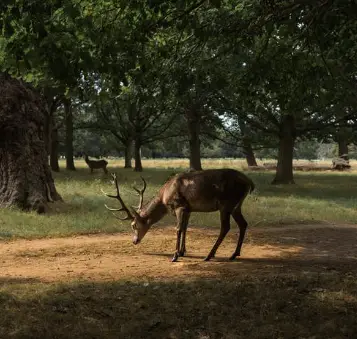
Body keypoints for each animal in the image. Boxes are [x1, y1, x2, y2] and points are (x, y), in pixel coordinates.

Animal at [101, 170, 254, 262]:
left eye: (133, 225)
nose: (134, 241)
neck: (164, 197)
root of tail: (249, 182)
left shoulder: (179, 205)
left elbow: (178, 229)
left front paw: (174, 256)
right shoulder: (188, 209)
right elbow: (185, 228)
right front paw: (182, 252)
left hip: (226, 203)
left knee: (225, 227)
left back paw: (209, 255)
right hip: (236, 206)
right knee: (243, 223)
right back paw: (234, 254)